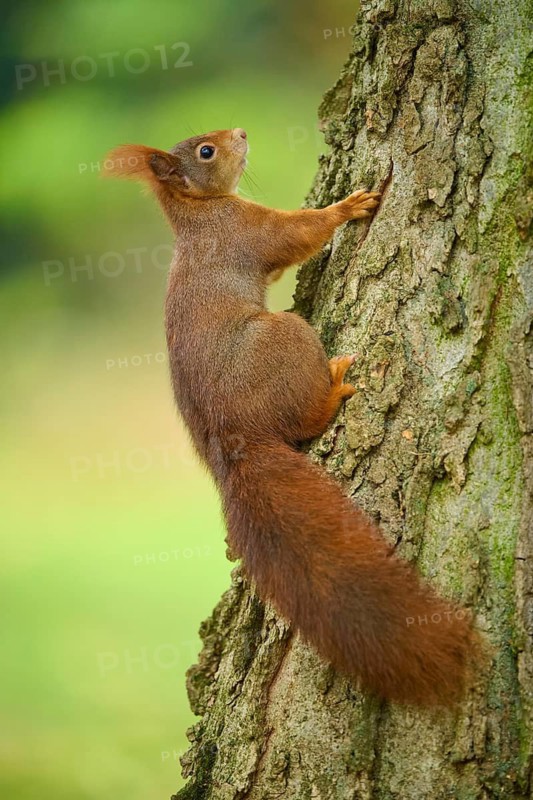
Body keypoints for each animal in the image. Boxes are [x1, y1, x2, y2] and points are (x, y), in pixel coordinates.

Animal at [105, 127, 478, 706]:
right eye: (206, 151)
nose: (240, 132)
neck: (197, 212)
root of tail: (233, 439)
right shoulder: (246, 230)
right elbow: (295, 234)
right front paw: (349, 206)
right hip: (286, 337)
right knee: (306, 421)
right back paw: (335, 389)